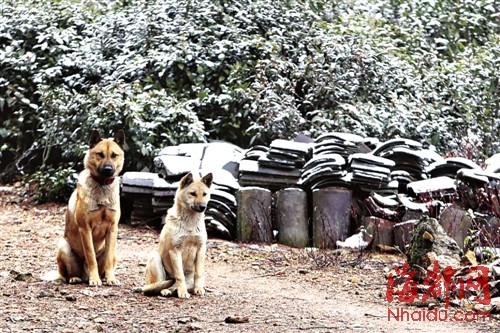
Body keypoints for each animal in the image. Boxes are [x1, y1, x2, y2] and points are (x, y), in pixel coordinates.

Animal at [54, 130, 125, 286]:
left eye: (114, 155)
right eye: (100, 154)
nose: (108, 170)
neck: (102, 186)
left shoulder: (112, 229)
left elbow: (108, 260)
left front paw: (111, 278)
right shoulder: (85, 229)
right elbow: (91, 256)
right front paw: (94, 279)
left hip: (115, 251)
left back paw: (103, 277)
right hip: (63, 247)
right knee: (67, 275)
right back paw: (75, 278)